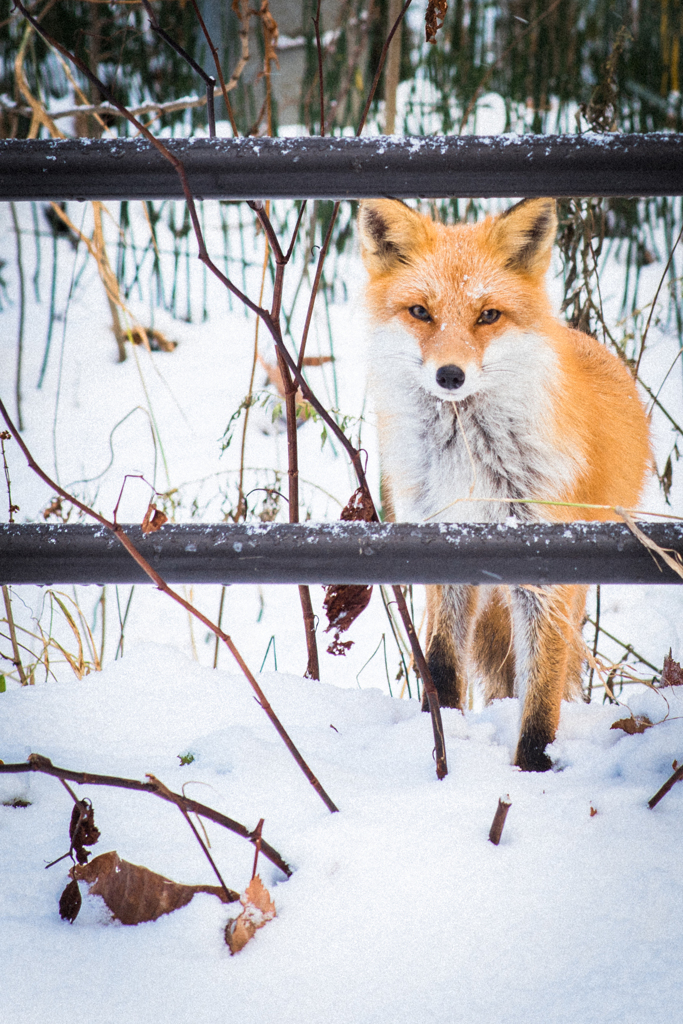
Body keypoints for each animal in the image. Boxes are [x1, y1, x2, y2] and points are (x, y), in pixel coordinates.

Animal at [358, 197, 651, 770]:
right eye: (421, 312)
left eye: (487, 315)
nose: (450, 375)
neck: (468, 464)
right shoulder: (440, 545)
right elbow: (442, 662)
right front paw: (441, 731)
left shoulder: (549, 572)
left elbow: (539, 694)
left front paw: (532, 768)